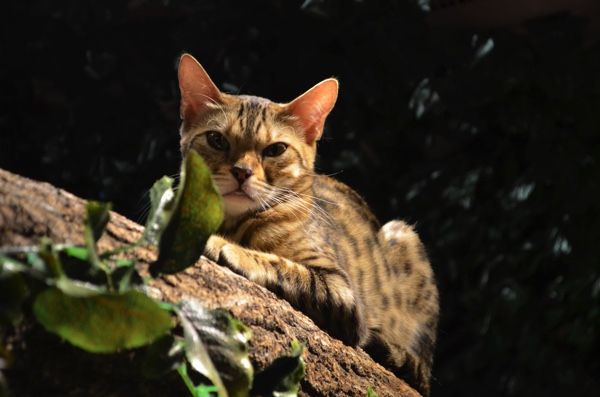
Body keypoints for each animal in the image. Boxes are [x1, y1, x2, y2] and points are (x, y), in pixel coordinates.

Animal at [176, 53, 438, 396]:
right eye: (217, 140)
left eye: (276, 149)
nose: (242, 172)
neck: (234, 222)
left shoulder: (341, 291)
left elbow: (283, 266)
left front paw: (224, 246)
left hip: (404, 236)